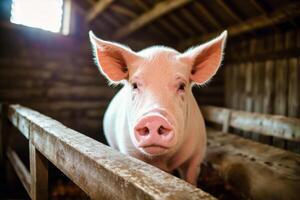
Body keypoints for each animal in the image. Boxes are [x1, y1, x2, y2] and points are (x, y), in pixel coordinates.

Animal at [89, 30, 227, 185]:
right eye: (135, 85)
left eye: (182, 86)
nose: (154, 119)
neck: (162, 160)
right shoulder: (127, 149)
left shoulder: (196, 155)